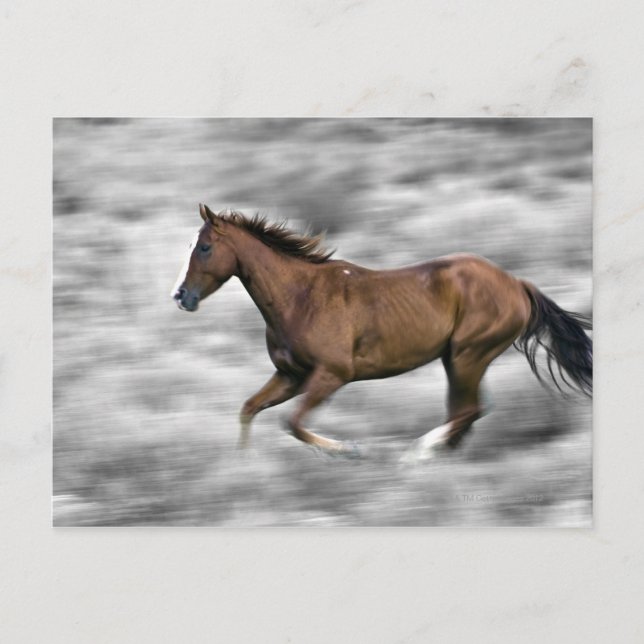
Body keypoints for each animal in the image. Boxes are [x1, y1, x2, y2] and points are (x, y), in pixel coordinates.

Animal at [172, 204, 592, 462]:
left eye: (204, 247)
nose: (180, 296)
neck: (300, 297)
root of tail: (518, 285)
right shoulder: (291, 376)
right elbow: (249, 409)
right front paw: (244, 464)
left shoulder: (332, 375)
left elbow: (292, 423)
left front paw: (352, 451)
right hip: (456, 359)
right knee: (464, 414)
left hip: (467, 355)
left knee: (468, 411)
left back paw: (417, 455)